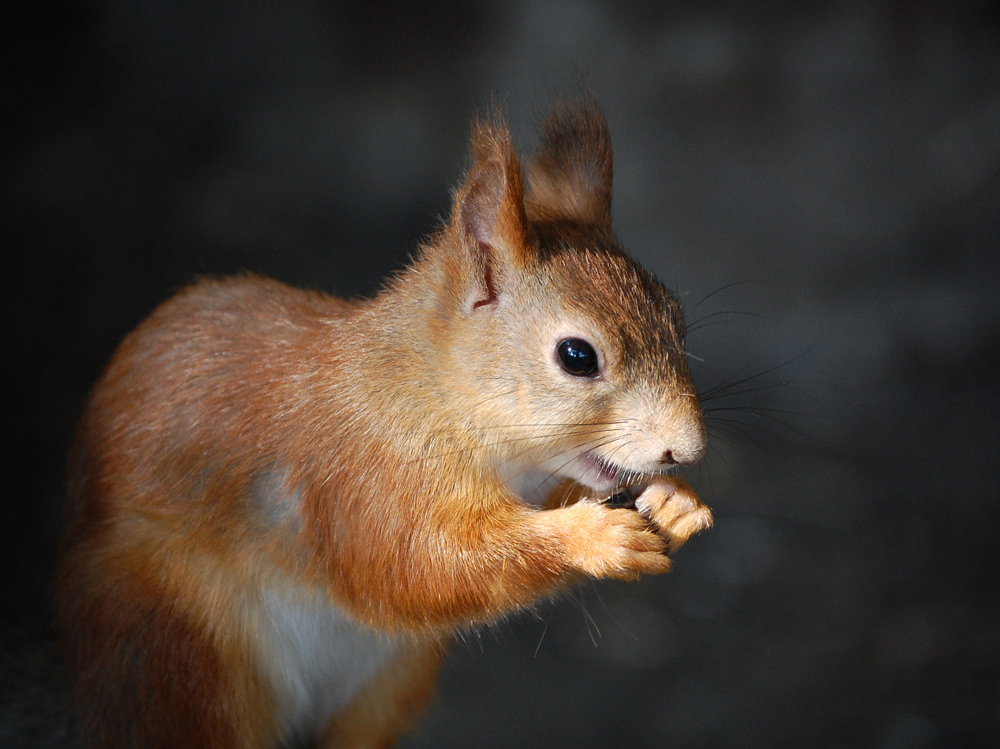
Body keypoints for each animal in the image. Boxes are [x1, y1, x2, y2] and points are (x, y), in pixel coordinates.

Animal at [56, 101, 712, 748]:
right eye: (577, 357)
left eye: (676, 316)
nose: (688, 449)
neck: (435, 394)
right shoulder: (369, 470)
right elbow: (418, 563)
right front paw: (592, 539)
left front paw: (676, 503)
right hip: (190, 659)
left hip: (391, 682)